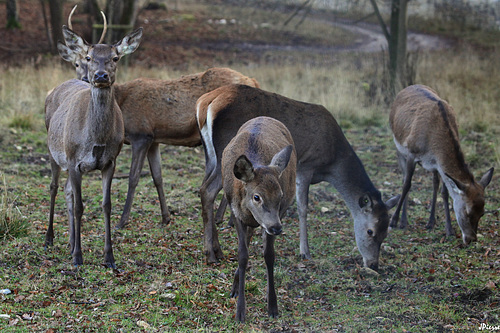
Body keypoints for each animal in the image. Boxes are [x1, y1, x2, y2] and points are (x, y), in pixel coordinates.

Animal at [44, 22, 143, 268]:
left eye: (115, 57)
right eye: (89, 57)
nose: (100, 75)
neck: (96, 138)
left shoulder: (110, 162)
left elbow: (106, 205)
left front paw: (109, 257)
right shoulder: (73, 160)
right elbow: (80, 206)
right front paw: (78, 257)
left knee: (67, 191)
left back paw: (70, 242)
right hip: (53, 150)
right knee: (54, 187)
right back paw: (49, 239)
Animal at [196, 83, 398, 270]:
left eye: (386, 232)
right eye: (370, 231)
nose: (373, 264)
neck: (332, 161)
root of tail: (205, 103)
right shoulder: (306, 166)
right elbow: (303, 208)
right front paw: (305, 252)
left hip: (211, 155)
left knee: (204, 187)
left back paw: (216, 250)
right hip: (225, 155)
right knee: (208, 190)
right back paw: (211, 254)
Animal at [223, 116, 296, 322]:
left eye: (280, 195)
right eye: (257, 196)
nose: (277, 228)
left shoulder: (279, 213)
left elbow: (269, 255)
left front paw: (273, 306)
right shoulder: (235, 213)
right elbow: (242, 255)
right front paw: (240, 311)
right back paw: (235, 287)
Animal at [388, 84, 494, 243]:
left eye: (482, 212)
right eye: (467, 211)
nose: (471, 239)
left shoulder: (439, 164)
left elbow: (444, 192)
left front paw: (449, 230)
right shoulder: (412, 153)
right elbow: (407, 184)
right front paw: (393, 221)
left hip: (432, 166)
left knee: (435, 183)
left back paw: (431, 222)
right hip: (398, 148)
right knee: (404, 179)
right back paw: (403, 221)